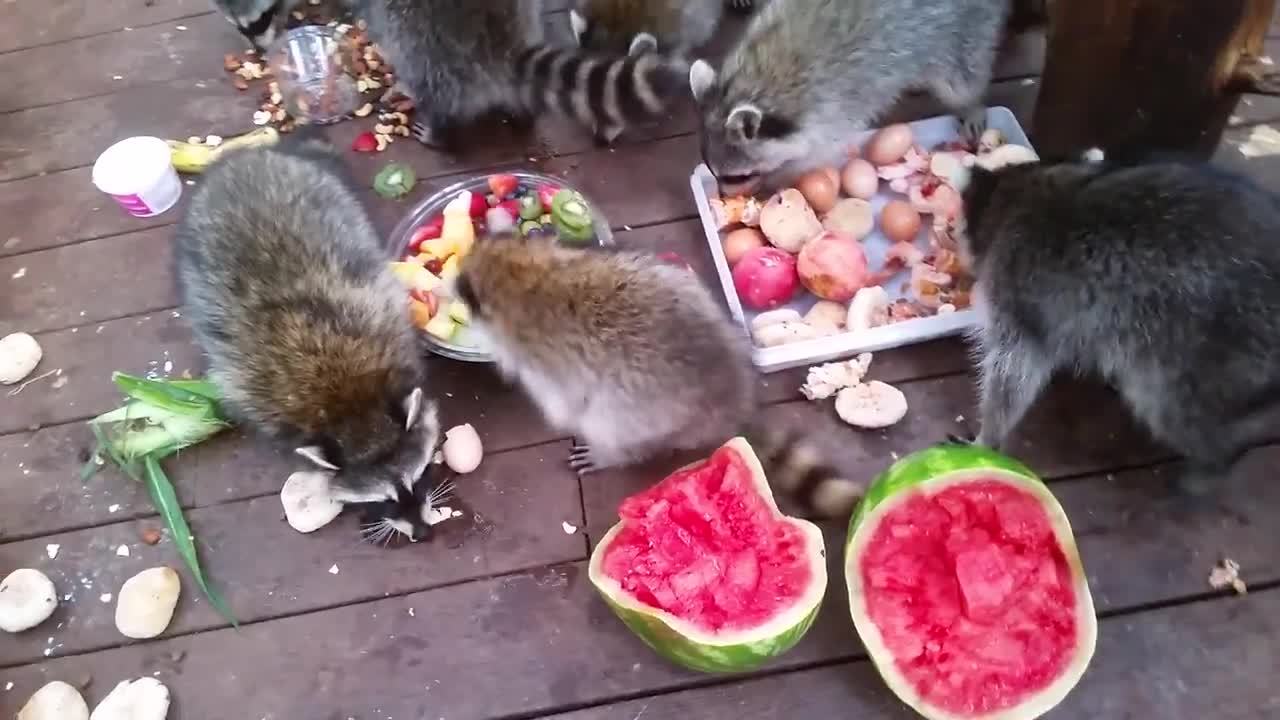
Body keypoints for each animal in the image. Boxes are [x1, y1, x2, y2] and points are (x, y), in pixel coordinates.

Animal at [173, 132, 442, 543]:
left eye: (418, 478)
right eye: (385, 500)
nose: (423, 534)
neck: (351, 407)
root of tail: (247, 159)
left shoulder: (390, 327)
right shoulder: (264, 404)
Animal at [453, 235, 864, 519]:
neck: (523, 274)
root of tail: (732, 398)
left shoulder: (545, 363)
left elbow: (565, 404)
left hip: (642, 409)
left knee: (608, 421)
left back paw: (612, 451)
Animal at [689, 0, 1011, 196]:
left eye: (737, 177)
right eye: (714, 172)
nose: (721, 195)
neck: (755, 83)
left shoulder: (832, 108)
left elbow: (818, 154)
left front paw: (776, 179)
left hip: (966, 28)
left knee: (961, 76)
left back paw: (970, 102)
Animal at [957, 150, 1280, 495]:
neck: (1019, 194)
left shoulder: (1017, 289)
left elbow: (1015, 371)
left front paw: (988, 436)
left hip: (1211, 347)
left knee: (1173, 409)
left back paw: (1217, 460)